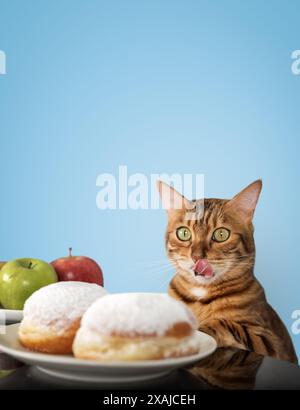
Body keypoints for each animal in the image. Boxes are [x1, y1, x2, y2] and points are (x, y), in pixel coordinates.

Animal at [158, 179, 296, 362]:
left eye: (221, 234)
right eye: (184, 233)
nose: (197, 257)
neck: (200, 294)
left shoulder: (271, 341)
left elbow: (226, 324)